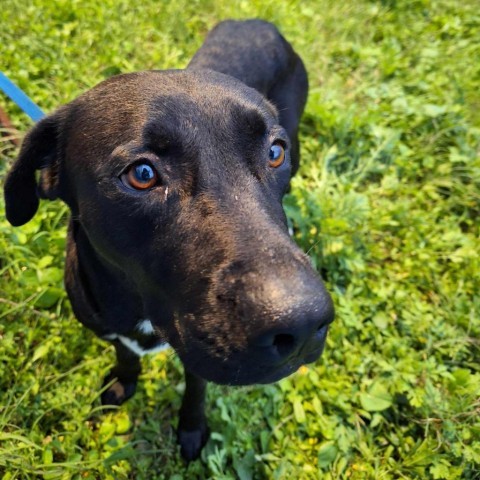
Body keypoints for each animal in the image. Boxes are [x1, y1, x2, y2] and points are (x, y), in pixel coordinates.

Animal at [3, 19, 334, 462]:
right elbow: (126, 357)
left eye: (274, 153)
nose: (303, 323)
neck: (141, 313)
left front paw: (191, 430)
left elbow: (195, 390)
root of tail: (258, 21)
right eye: (142, 174)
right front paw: (122, 385)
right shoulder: (114, 331)